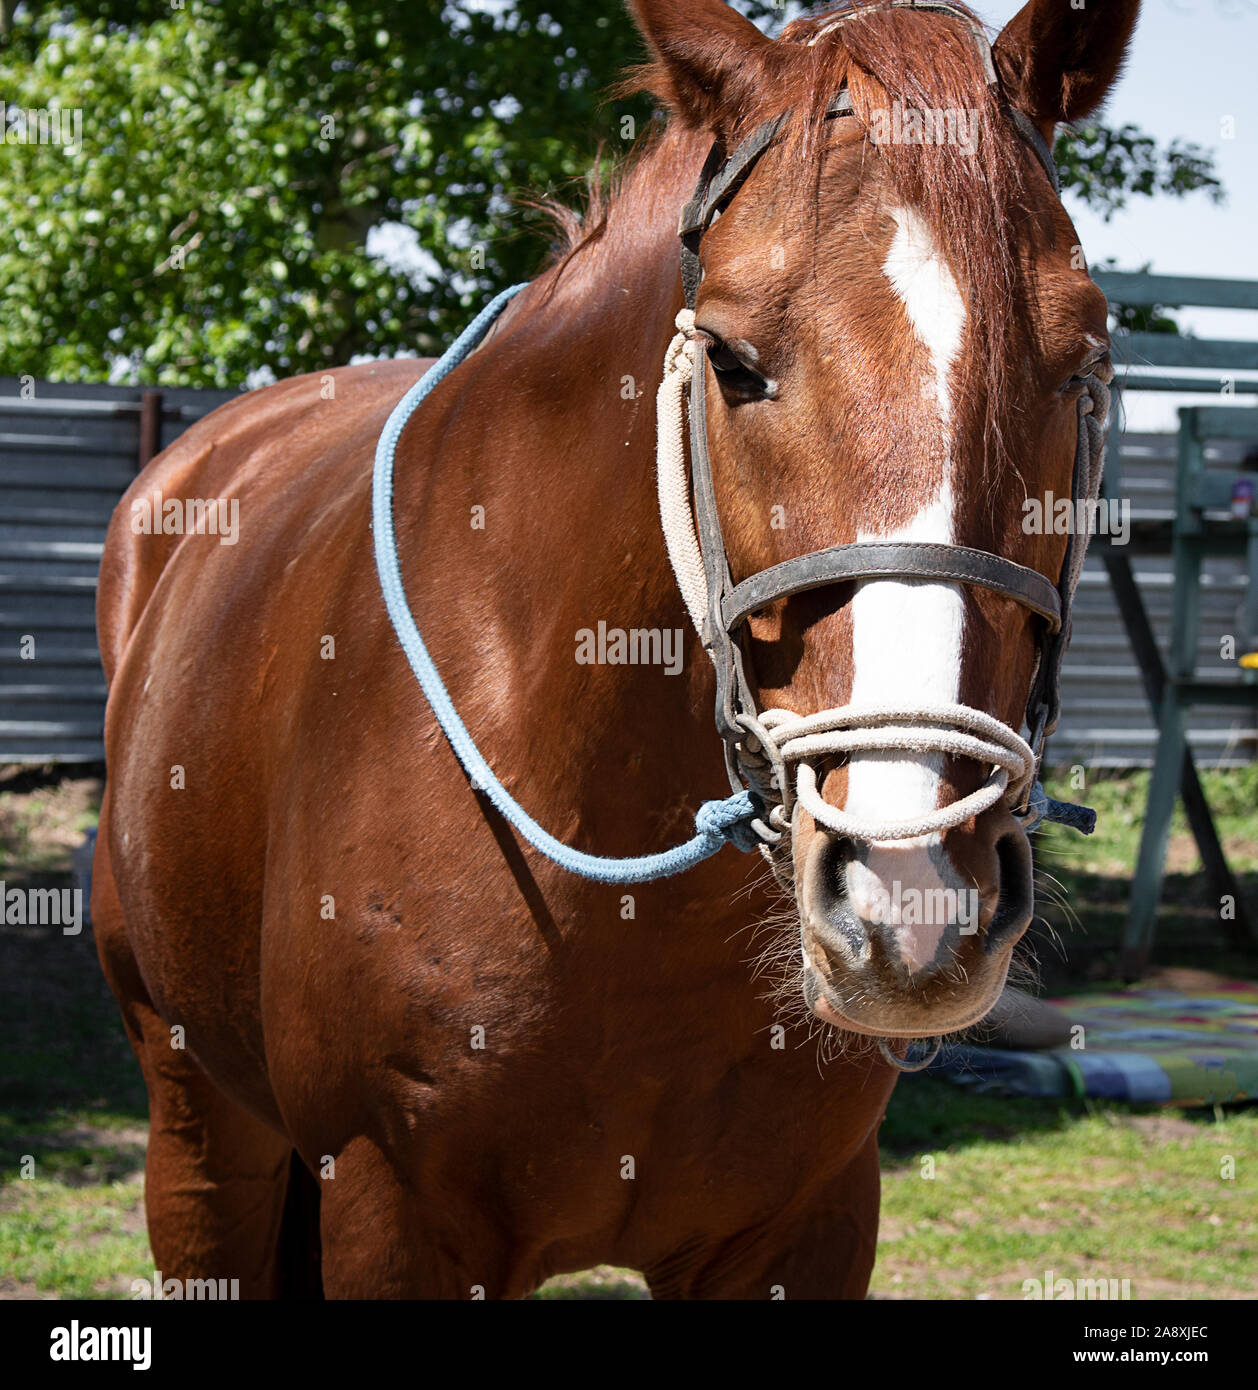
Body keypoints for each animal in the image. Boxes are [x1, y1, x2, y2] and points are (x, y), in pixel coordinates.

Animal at [92, 0, 1136, 1298]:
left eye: (1082, 362)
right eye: (732, 360)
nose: (911, 887)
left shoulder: (806, 1224)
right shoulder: (388, 1216)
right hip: (196, 1126)